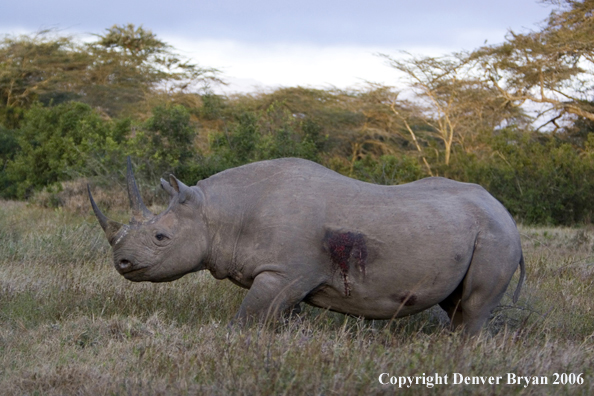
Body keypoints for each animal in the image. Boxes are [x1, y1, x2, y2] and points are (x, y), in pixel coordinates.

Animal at [88, 157, 524, 334]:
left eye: (161, 238)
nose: (121, 263)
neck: (219, 212)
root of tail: (506, 213)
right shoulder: (290, 278)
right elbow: (275, 318)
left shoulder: (284, 273)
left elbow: (245, 319)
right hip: (479, 231)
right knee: (457, 304)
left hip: (496, 237)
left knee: (472, 308)